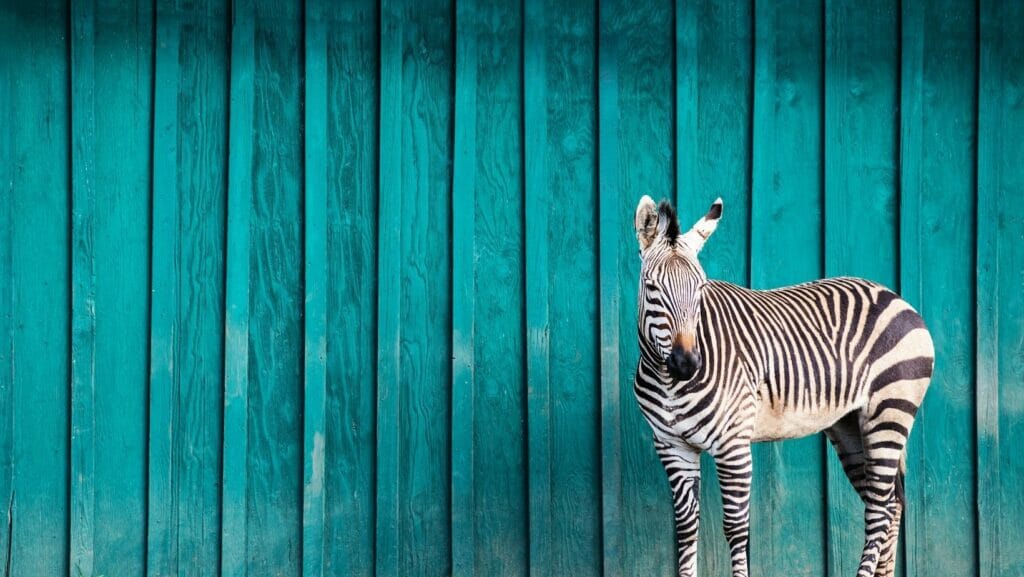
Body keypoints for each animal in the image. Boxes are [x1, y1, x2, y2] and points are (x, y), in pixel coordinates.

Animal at [632, 195, 934, 577]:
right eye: (652, 288)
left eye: (700, 289)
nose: (687, 364)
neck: (669, 382)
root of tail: (895, 297)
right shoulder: (671, 446)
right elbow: (686, 526)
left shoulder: (733, 445)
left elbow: (736, 527)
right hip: (851, 425)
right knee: (891, 504)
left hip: (889, 412)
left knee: (880, 510)